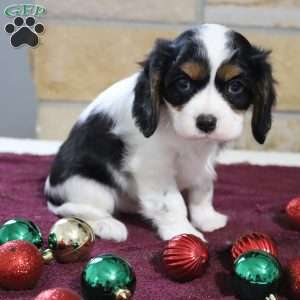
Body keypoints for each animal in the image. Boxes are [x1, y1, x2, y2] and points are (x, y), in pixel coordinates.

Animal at [43, 24, 276, 243]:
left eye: (236, 87)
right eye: (183, 84)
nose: (206, 122)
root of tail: (49, 188)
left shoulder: (203, 163)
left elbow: (202, 189)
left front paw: (206, 218)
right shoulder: (154, 167)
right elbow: (172, 203)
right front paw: (183, 233)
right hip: (89, 187)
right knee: (71, 209)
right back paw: (108, 225)